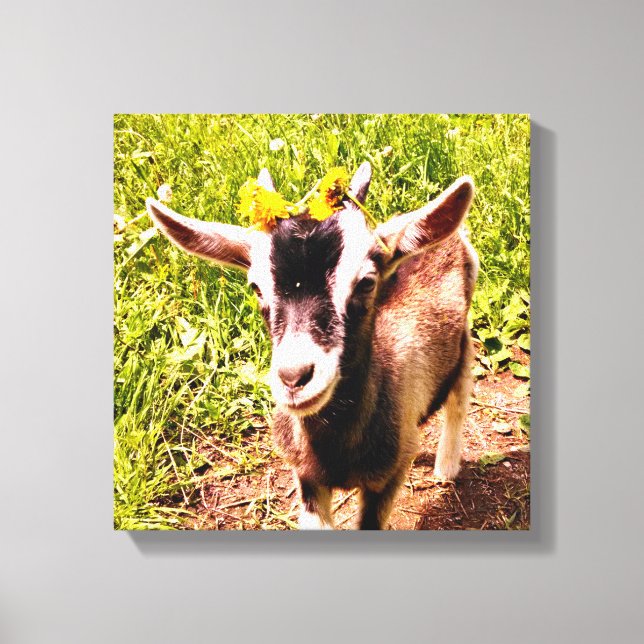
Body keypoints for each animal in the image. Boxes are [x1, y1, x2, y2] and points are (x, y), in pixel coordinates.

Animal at [145, 162, 478, 529]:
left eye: (366, 282)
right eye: (256, 287)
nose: (294, 377)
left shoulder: (387, 476)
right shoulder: (307, 478)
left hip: (464, 343)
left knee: (459, 398)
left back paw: (446, 468)